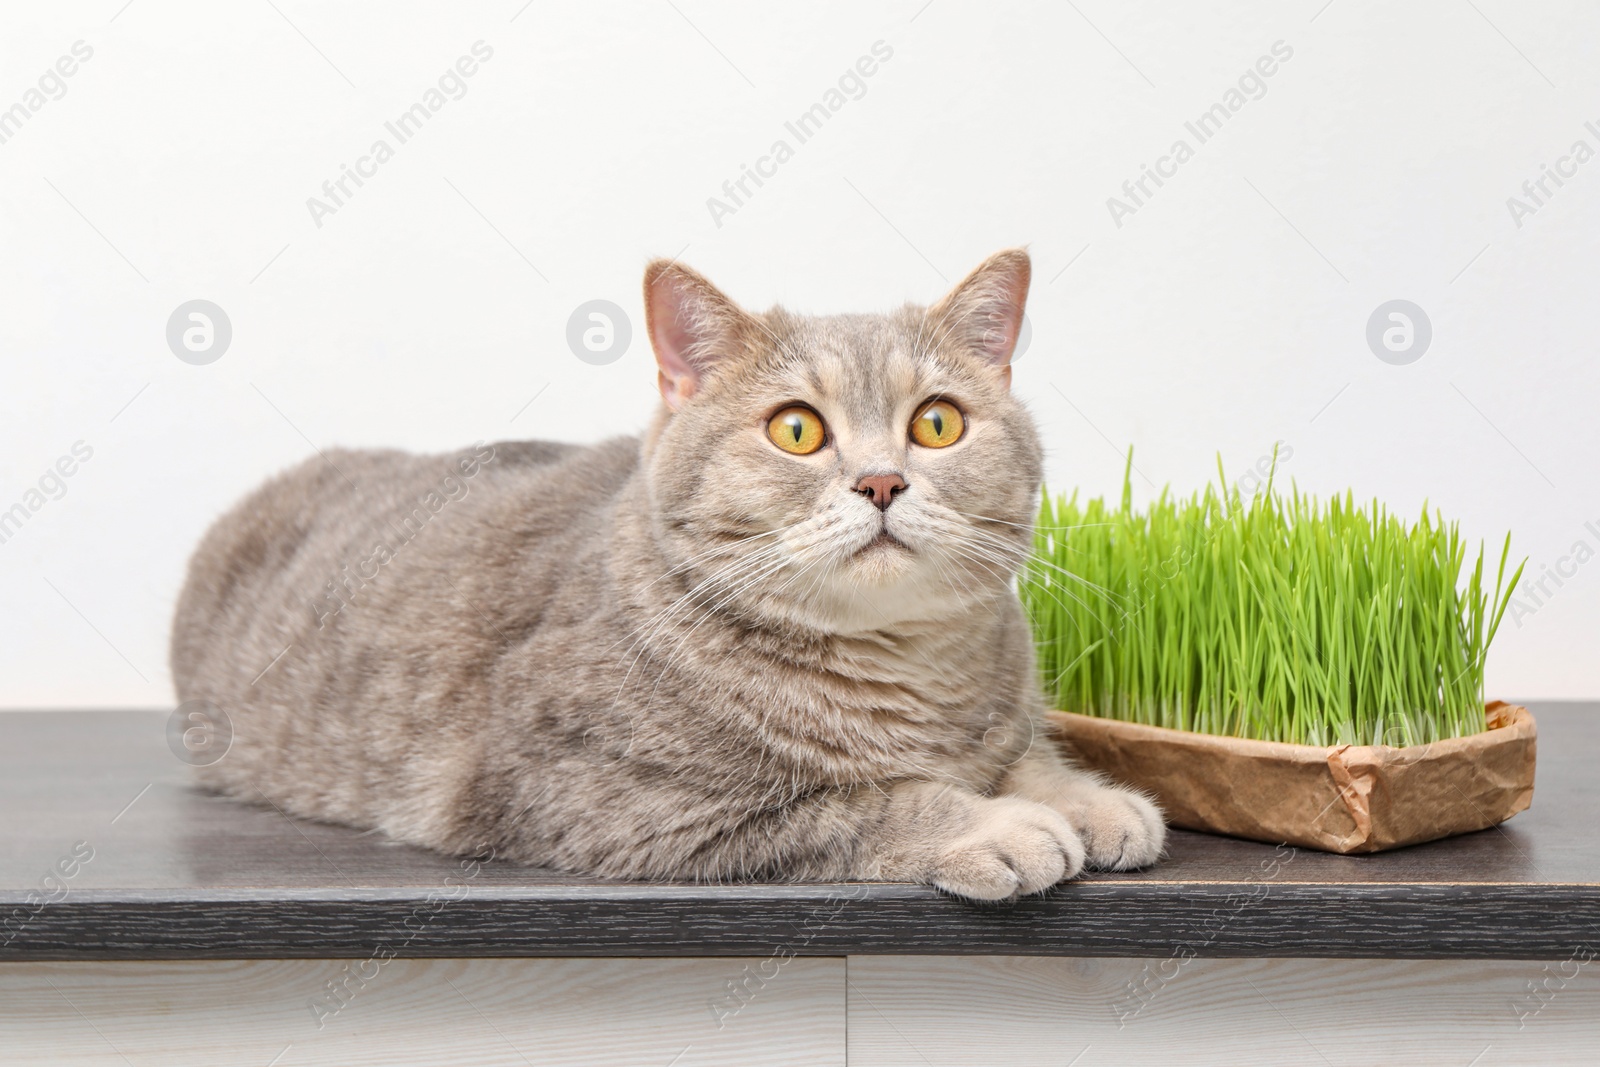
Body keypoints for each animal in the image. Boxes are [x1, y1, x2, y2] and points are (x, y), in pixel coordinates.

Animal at [172, 251, 1164, 902]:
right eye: (797, 429)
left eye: (938, 424)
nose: (883, 481)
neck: (902, 667)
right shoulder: (626, 802)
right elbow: (870, 801)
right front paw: (997, 823)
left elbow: (1025, 755)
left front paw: (1091, 799)